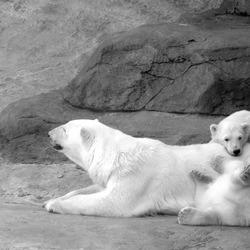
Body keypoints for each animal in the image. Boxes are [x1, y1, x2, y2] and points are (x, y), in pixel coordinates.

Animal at [43, 119, 250, 217]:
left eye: (64, 129)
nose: (49, 133)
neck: (115, 155)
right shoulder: (114, 174)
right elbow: (94, 189)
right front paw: (52, 199)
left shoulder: (136, 175)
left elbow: (114, 200)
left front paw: (54, 205)